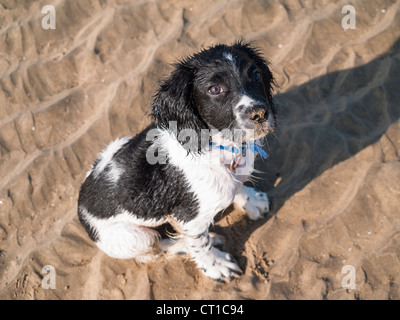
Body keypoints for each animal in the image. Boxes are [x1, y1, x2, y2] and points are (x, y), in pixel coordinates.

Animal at [79, 40, 276, 282]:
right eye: (214, 89)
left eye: (256, 75)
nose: (260, 114)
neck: (219, 147)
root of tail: (80, 204)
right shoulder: (188, 219)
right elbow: (200, 245)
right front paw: (217, 265)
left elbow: (237, 186)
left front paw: (252, 200)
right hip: (134, 237)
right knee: (152, 253)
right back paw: (186, 244)